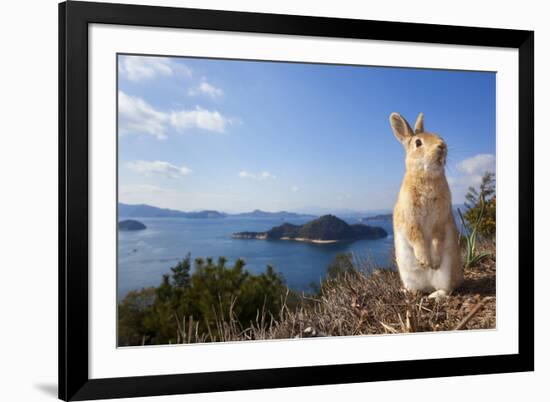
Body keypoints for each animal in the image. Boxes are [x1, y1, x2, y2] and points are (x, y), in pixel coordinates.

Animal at [390, 112, 464, 298]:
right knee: (417, 288)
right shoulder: (410, 219)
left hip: (447, 272)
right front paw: (424, 261)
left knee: (447, 290)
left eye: (438, 135)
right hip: (407, 275)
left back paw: (434, 295)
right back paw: (409, 291)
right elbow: (416, 236)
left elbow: (437, 237)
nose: (442, 146)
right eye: (418, 143)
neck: (427, 177)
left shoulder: (441, 219)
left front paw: (433, 262)